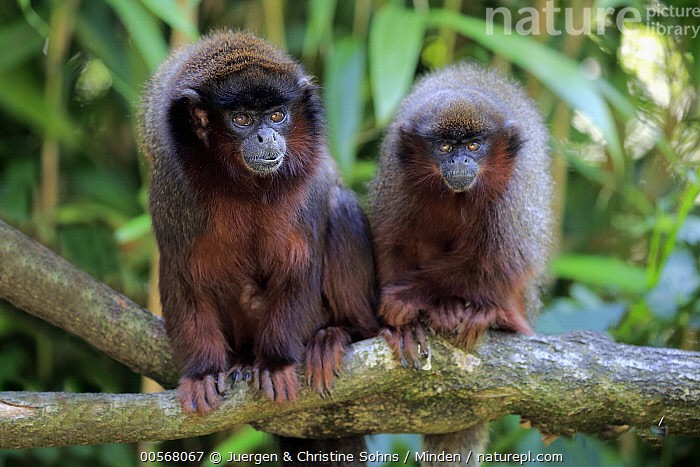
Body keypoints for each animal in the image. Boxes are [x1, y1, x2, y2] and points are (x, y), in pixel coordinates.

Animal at [141, 31, 378, 414]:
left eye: (277, 115)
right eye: (242, 119)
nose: (267, 136)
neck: (242, 184)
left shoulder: (306, 188)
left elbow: (299, 266)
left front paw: (275, 362)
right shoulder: (171, 192)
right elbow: (183, 276)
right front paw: (203, 372)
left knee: (340, 208)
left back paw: (335, 335)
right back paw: (242, 359)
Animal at [372, 62, 552, 368]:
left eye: (473, 146)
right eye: (445, 147)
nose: (460, 160)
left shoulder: (512, 190)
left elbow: (499, 261)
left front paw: (407, 297)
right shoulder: (397, 176)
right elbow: (393, 243)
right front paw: (404, 326)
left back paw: (490, 314)